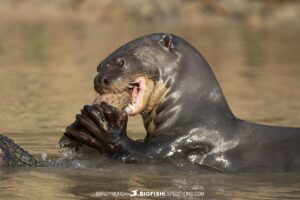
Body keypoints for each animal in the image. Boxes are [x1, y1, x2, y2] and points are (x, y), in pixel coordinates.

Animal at [0, 33, 300, 173]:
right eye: (99, 65)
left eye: (120, 62)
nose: (99, 80)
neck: (192, 115)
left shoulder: (184, 142)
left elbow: (138, 153)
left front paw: (100, 127)